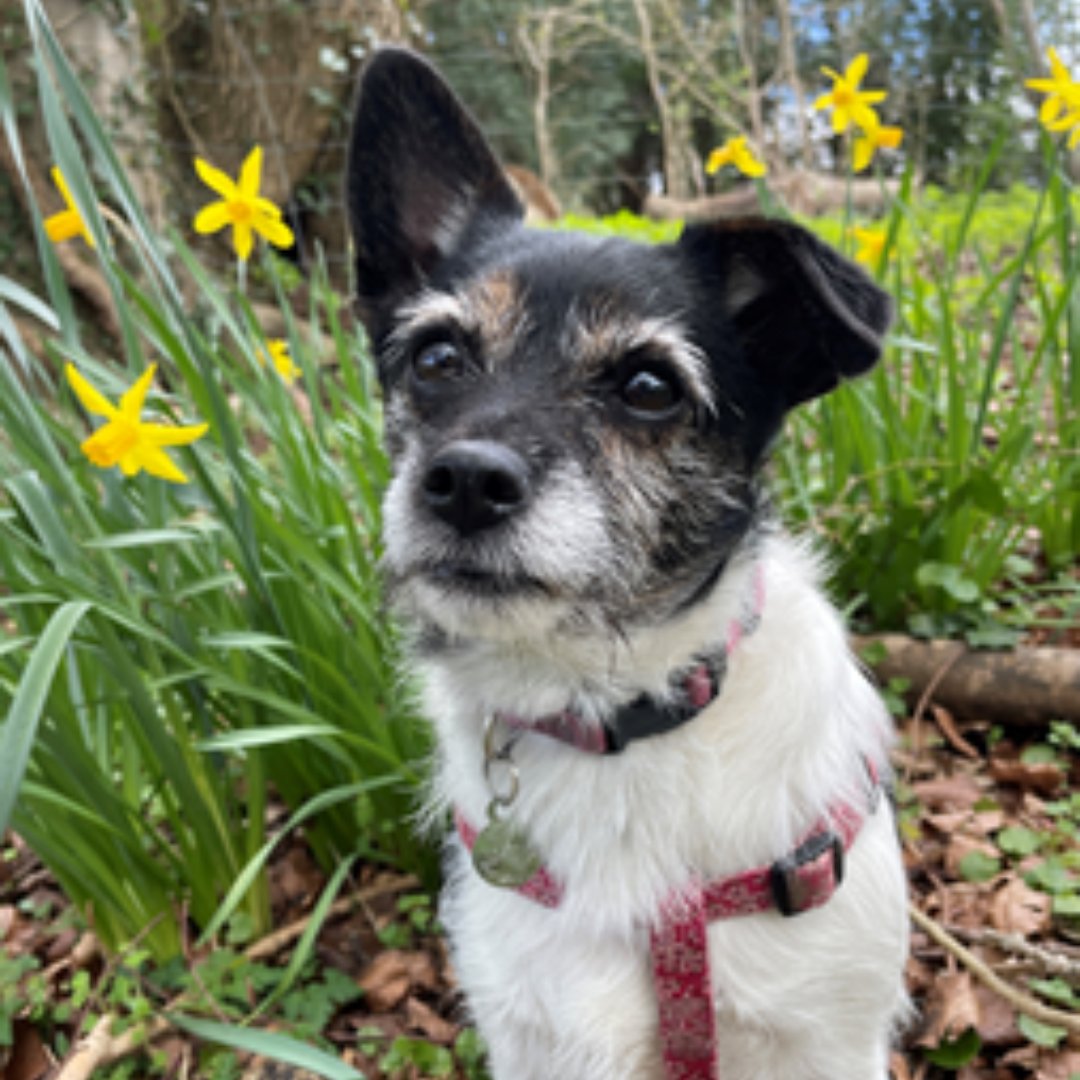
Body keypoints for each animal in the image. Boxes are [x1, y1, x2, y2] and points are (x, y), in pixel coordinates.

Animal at [345, 46, 911, 1075]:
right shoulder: (535, 1037)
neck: (618, 712)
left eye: (649, 386)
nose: (465, 482)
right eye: (437, 357)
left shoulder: (826, 1036)